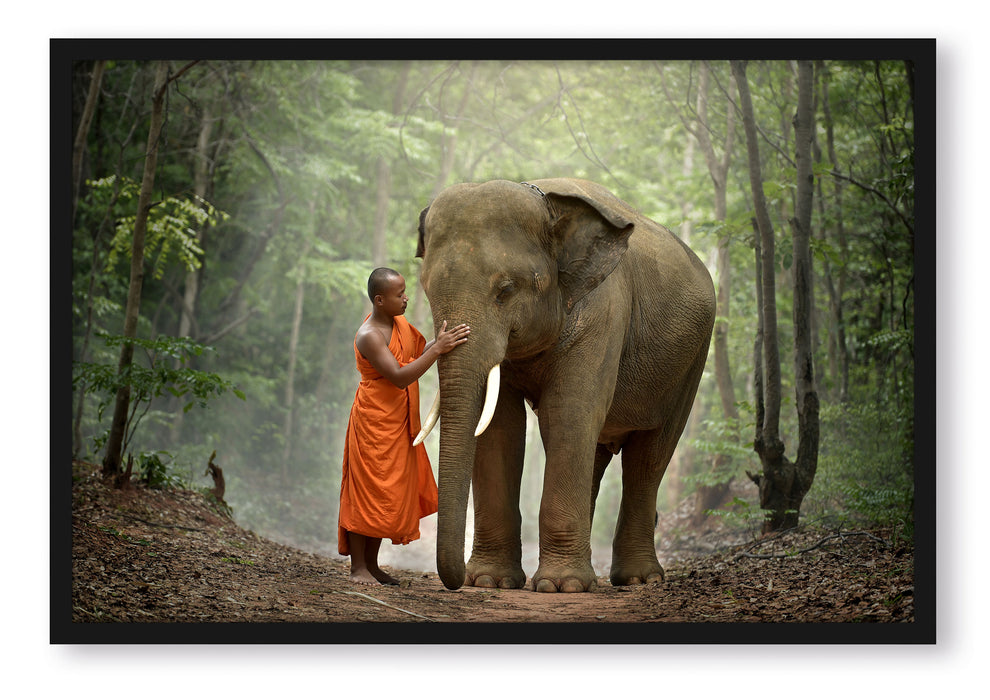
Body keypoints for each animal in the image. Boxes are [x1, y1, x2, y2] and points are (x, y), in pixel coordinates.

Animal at [414, 178, 715, 593]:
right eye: (426, 289)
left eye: (505, 290)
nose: (457, 581)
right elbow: (501, 426)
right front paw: (492, 581)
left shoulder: (603, 312)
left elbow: (568, 413)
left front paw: (561, 587)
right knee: (598, 453)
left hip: (691, 362)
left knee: (650, 456)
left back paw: (637, 579)